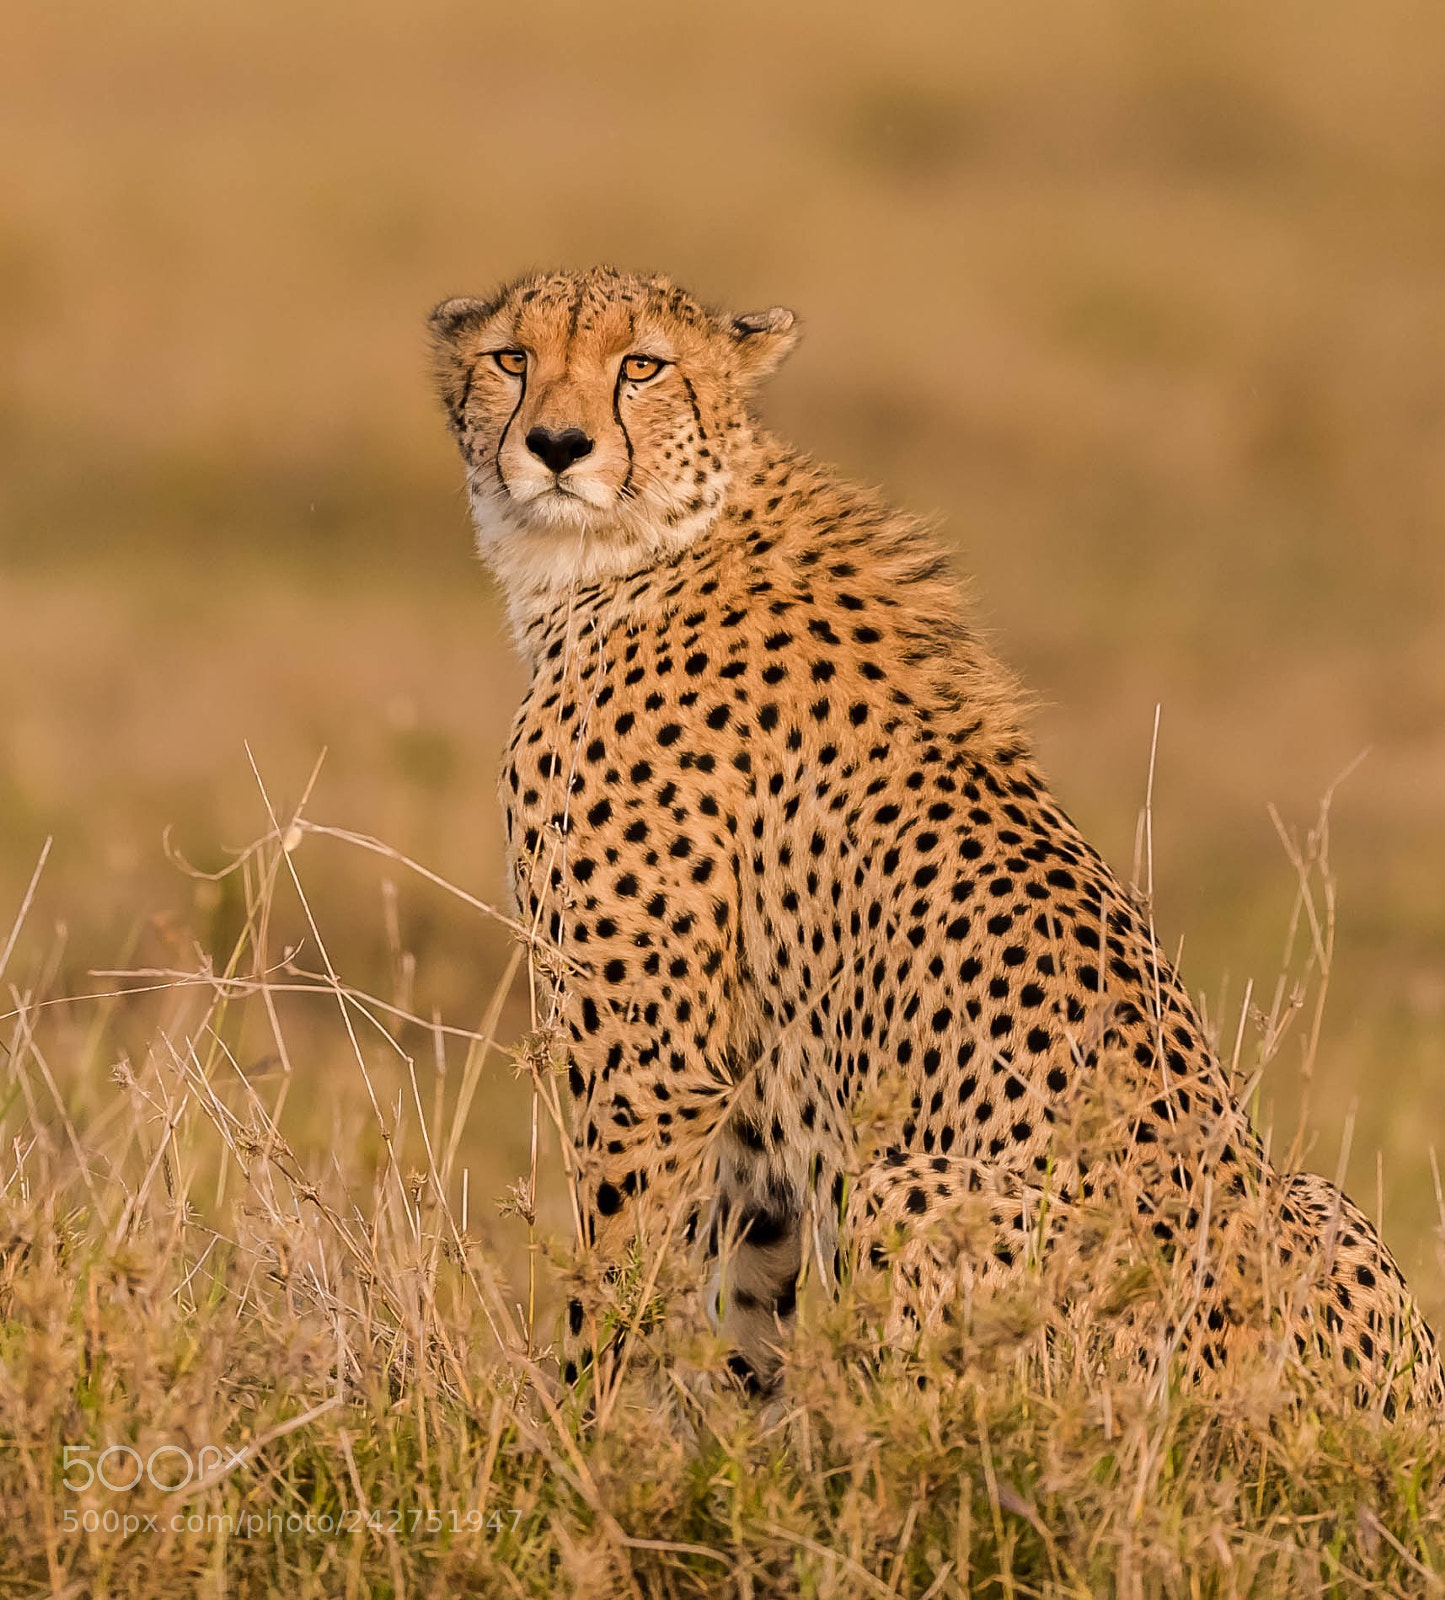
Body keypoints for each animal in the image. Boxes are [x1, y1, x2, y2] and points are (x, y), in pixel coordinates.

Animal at [429, 265, 1443, 1416]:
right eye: (511, 358)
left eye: (640, 366)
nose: (557, 445)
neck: (640, 547)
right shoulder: (748, 1101)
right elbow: (747, 1298)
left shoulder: (653, 1064)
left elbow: (618, 1271)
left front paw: (581, 1434)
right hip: (1317, 1197)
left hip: (909, 1191)